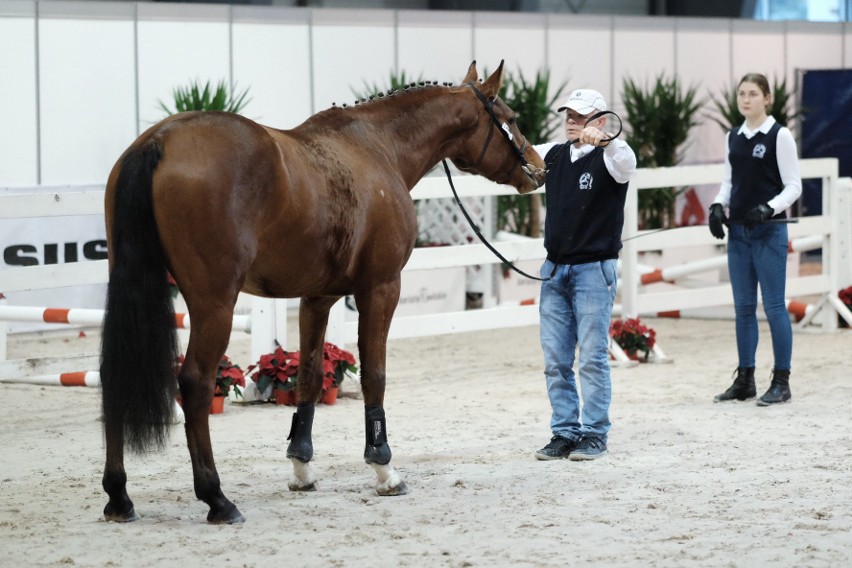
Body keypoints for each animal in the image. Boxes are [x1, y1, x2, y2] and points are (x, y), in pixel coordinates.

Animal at [100, 61, 544, 524]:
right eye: (511, 118)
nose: (539, 167)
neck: (378, 148)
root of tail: (159, 141)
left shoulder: (318, 297)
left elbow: (309, 376)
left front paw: (301, 466)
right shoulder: (381, 287)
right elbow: (375, 375)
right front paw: (384, 467)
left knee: (113, 375)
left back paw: (119, 496)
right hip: (215, 303)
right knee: (196, 383)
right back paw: (217, 498)